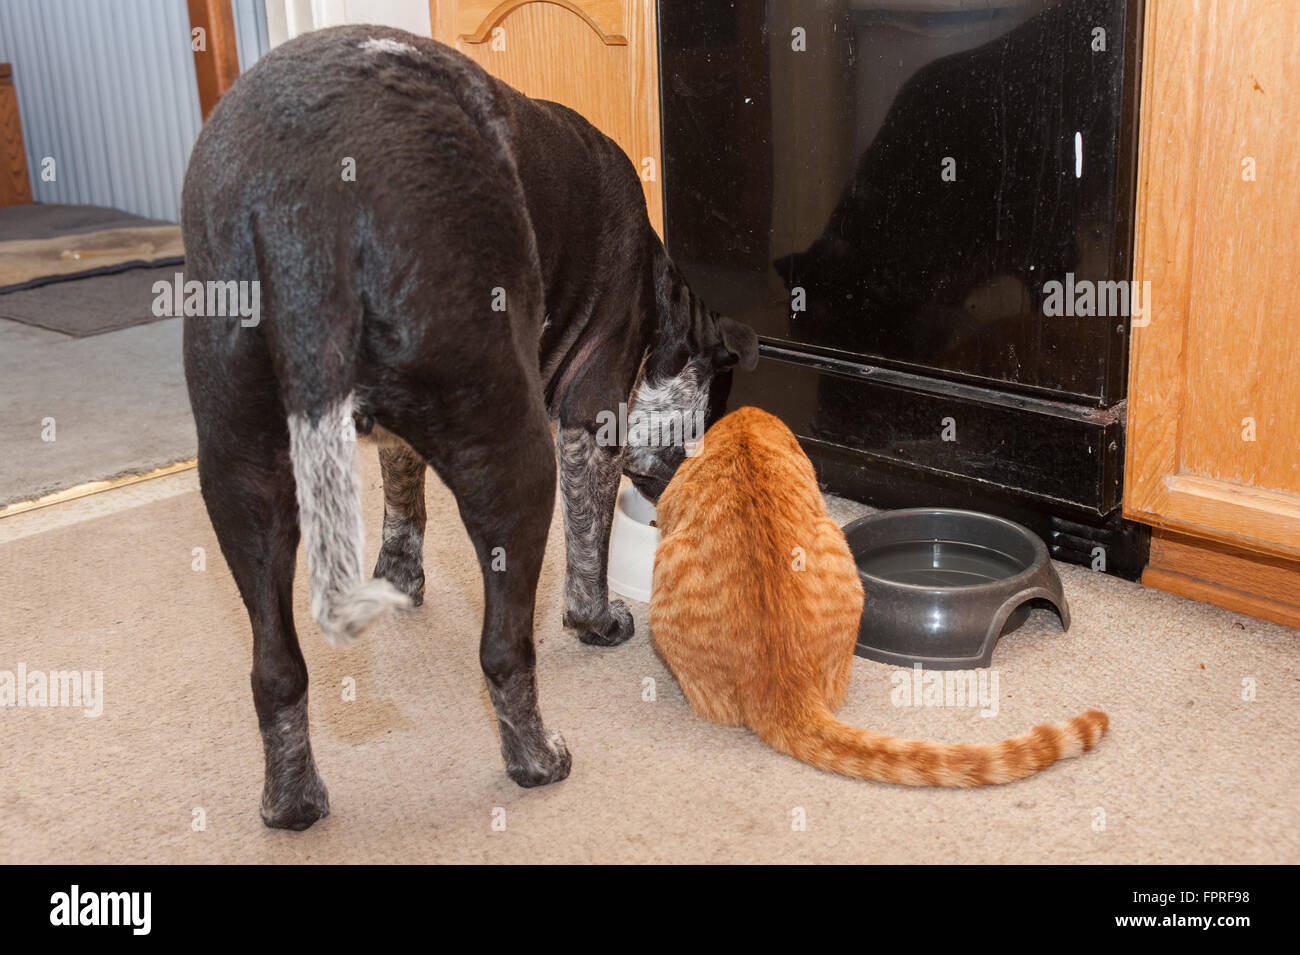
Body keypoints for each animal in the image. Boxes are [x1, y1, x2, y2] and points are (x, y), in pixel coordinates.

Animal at [178, 22, 759, 831]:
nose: (678, 477)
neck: (662, 300)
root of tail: (309, 192)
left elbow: (401, 493)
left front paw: (400, 576)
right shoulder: (590, 412)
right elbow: (587, 550)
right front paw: (598, 621)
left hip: (241, 479)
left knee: (275, 668)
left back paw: (292, 801)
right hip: (514, 458)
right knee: (504, 649)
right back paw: (537, 760)